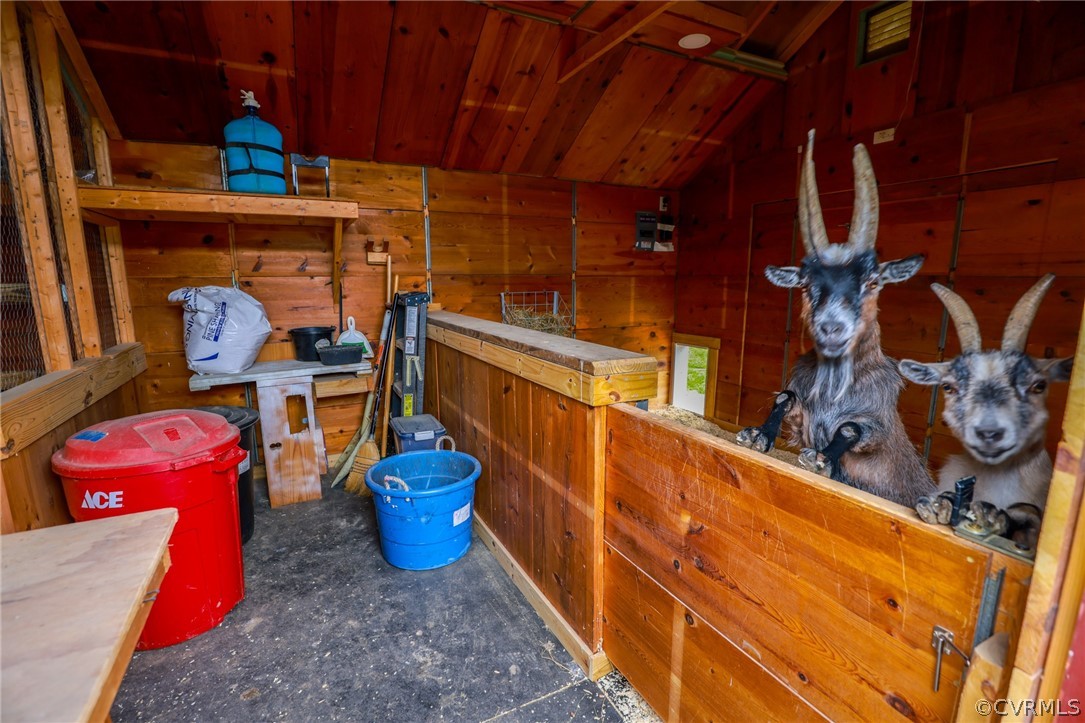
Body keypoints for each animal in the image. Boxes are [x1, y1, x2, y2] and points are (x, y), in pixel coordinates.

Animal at [735, 130, 935, 507]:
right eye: (806, 283)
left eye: (873, 281)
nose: (831, 328)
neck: (832, 391)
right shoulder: (803, 414)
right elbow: (785, 397)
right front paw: (757, 435)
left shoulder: (876, 424)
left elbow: (850, 428)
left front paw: (821, 459)